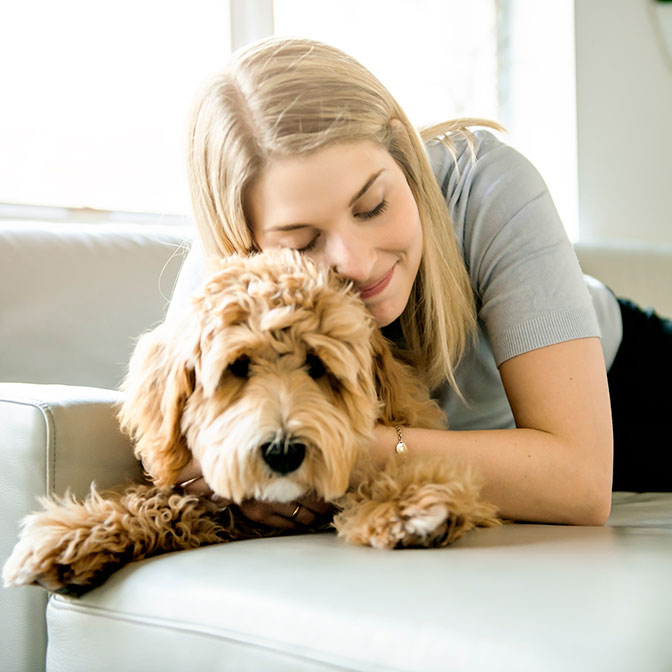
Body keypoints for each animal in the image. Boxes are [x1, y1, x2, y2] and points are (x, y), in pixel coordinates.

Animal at [2, 248, 498, 592]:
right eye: (238, 367)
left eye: (317, 365)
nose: (283, 452)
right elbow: (157, 503)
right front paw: (76, 537)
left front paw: (409, 507)